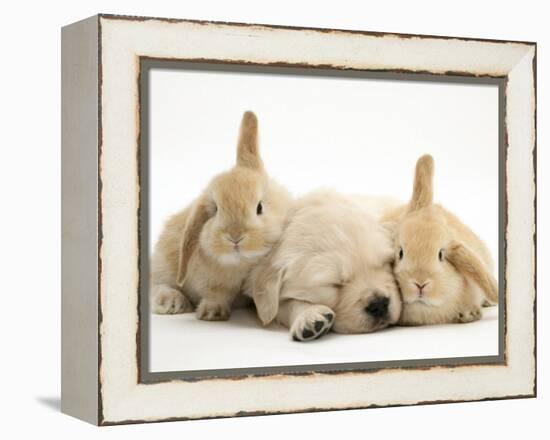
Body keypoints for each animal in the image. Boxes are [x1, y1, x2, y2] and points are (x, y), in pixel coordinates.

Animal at [149, 111, 296, 322]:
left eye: (259, 207)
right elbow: (215, 293)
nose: (235, 237)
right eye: (216, 209)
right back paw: (171, 302)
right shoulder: (211, 282)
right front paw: (212, 312)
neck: (242, 265)